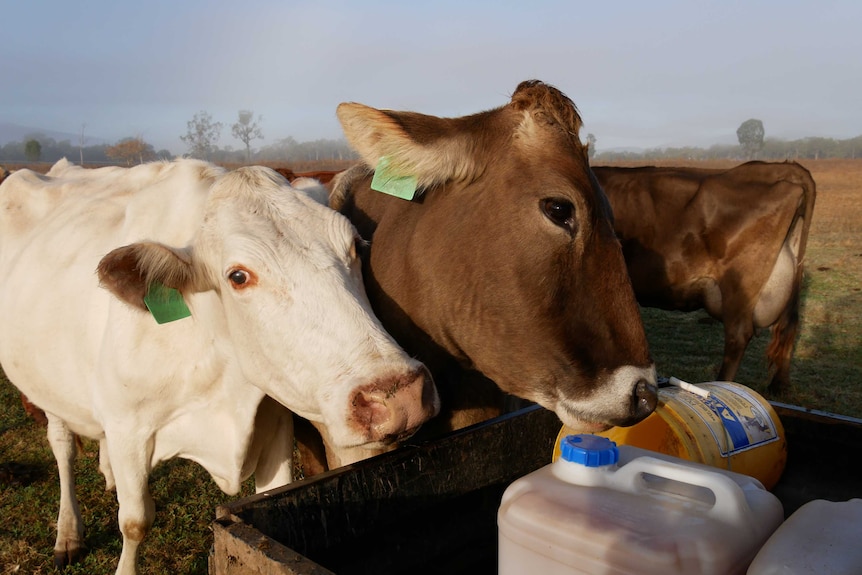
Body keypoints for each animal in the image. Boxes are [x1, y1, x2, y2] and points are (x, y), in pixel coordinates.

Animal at [0, 160, 442, 575]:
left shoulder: (273, 424)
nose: (399, 396)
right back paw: (67, 534)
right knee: (62, 447)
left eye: (354, 246)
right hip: (44, 388)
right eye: (238, 276)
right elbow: (135, 521)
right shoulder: (128, 427)